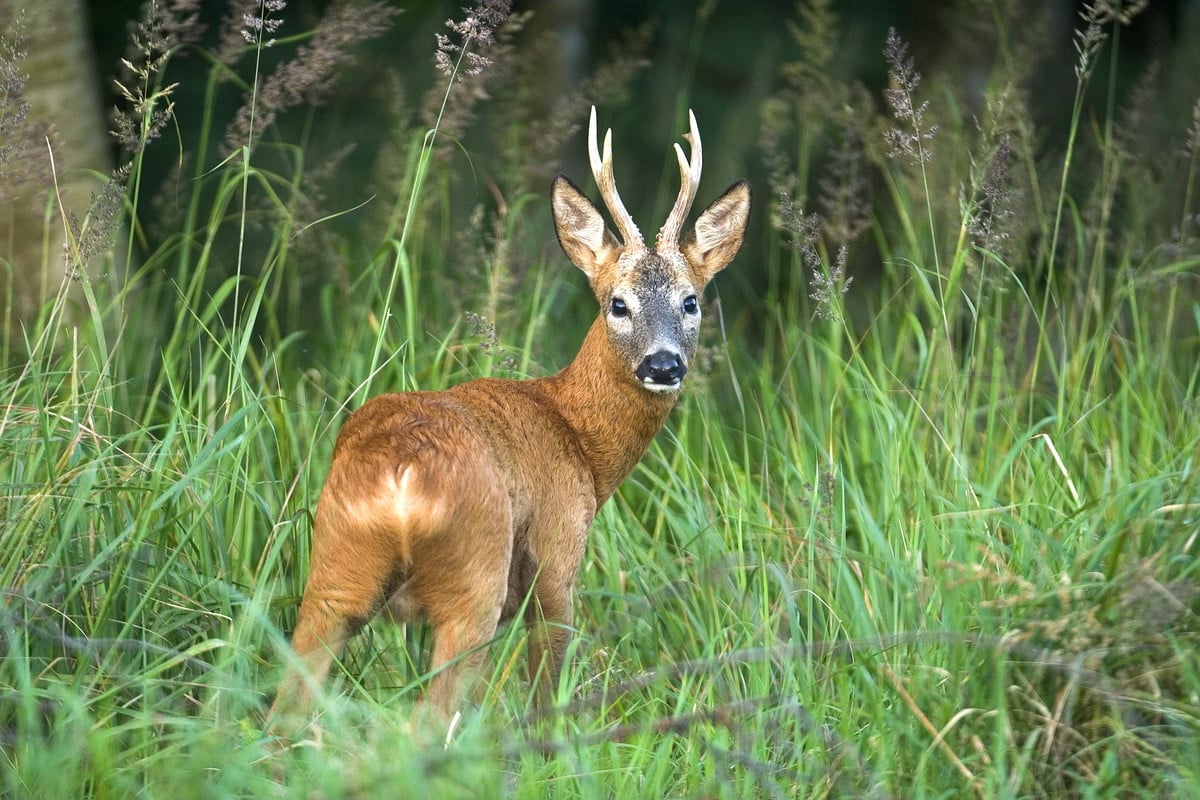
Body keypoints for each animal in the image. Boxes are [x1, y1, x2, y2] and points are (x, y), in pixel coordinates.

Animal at [272, 104, 748, 719]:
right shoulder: (558, 557)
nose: (663, 364)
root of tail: (399, 475)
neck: (579, 438)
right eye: (617, 304)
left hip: (335, 569)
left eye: (691, 301)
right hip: (475, 579)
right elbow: (547, 691)